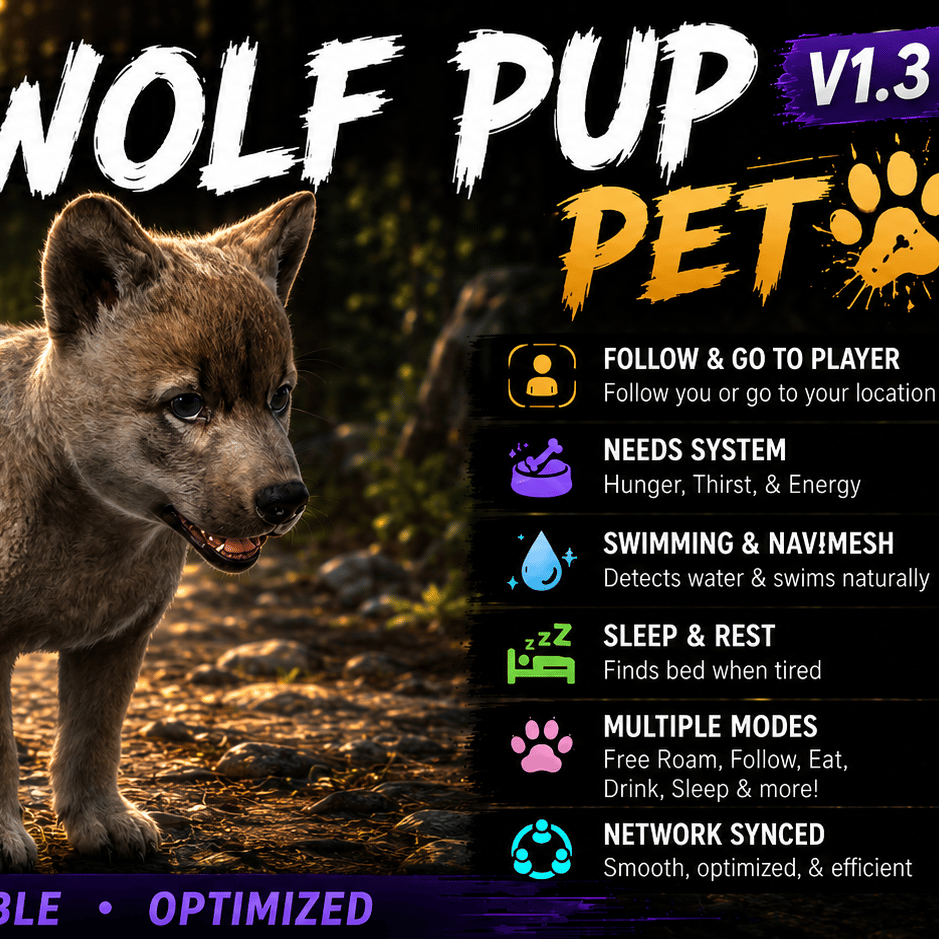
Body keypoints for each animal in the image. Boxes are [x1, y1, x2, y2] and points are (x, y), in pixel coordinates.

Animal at [0, 191, 315, 870]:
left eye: (278, 397)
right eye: (186, 405)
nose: (287, 499)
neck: (100, 541)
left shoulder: (119, 638)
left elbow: (94, 737)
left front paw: (103, 823)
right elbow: (2, 750)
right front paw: (3, 838)